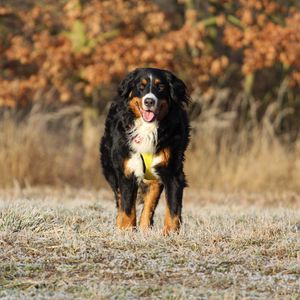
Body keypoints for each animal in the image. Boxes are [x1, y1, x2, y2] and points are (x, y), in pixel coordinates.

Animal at [100, 68, 190, 234]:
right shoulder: (127, 170)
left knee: (150, 202)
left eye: (160, 87)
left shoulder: (172, 171)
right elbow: (127, 207)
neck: (147, 128)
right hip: (111, 168)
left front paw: (170, 234)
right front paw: (126, 231)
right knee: (120, 199)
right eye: (141, 87)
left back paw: (144, 228)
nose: (149, 101)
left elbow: (173, 208)